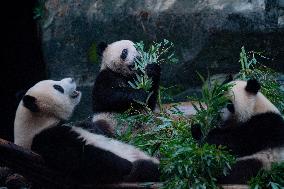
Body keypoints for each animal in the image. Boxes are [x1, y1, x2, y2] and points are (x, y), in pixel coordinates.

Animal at [13, 77, 160, 184]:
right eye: (58, 87)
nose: (72, 79)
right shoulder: (44, 139)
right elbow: (83, 158)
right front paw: (128, 165)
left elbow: (94, 128)